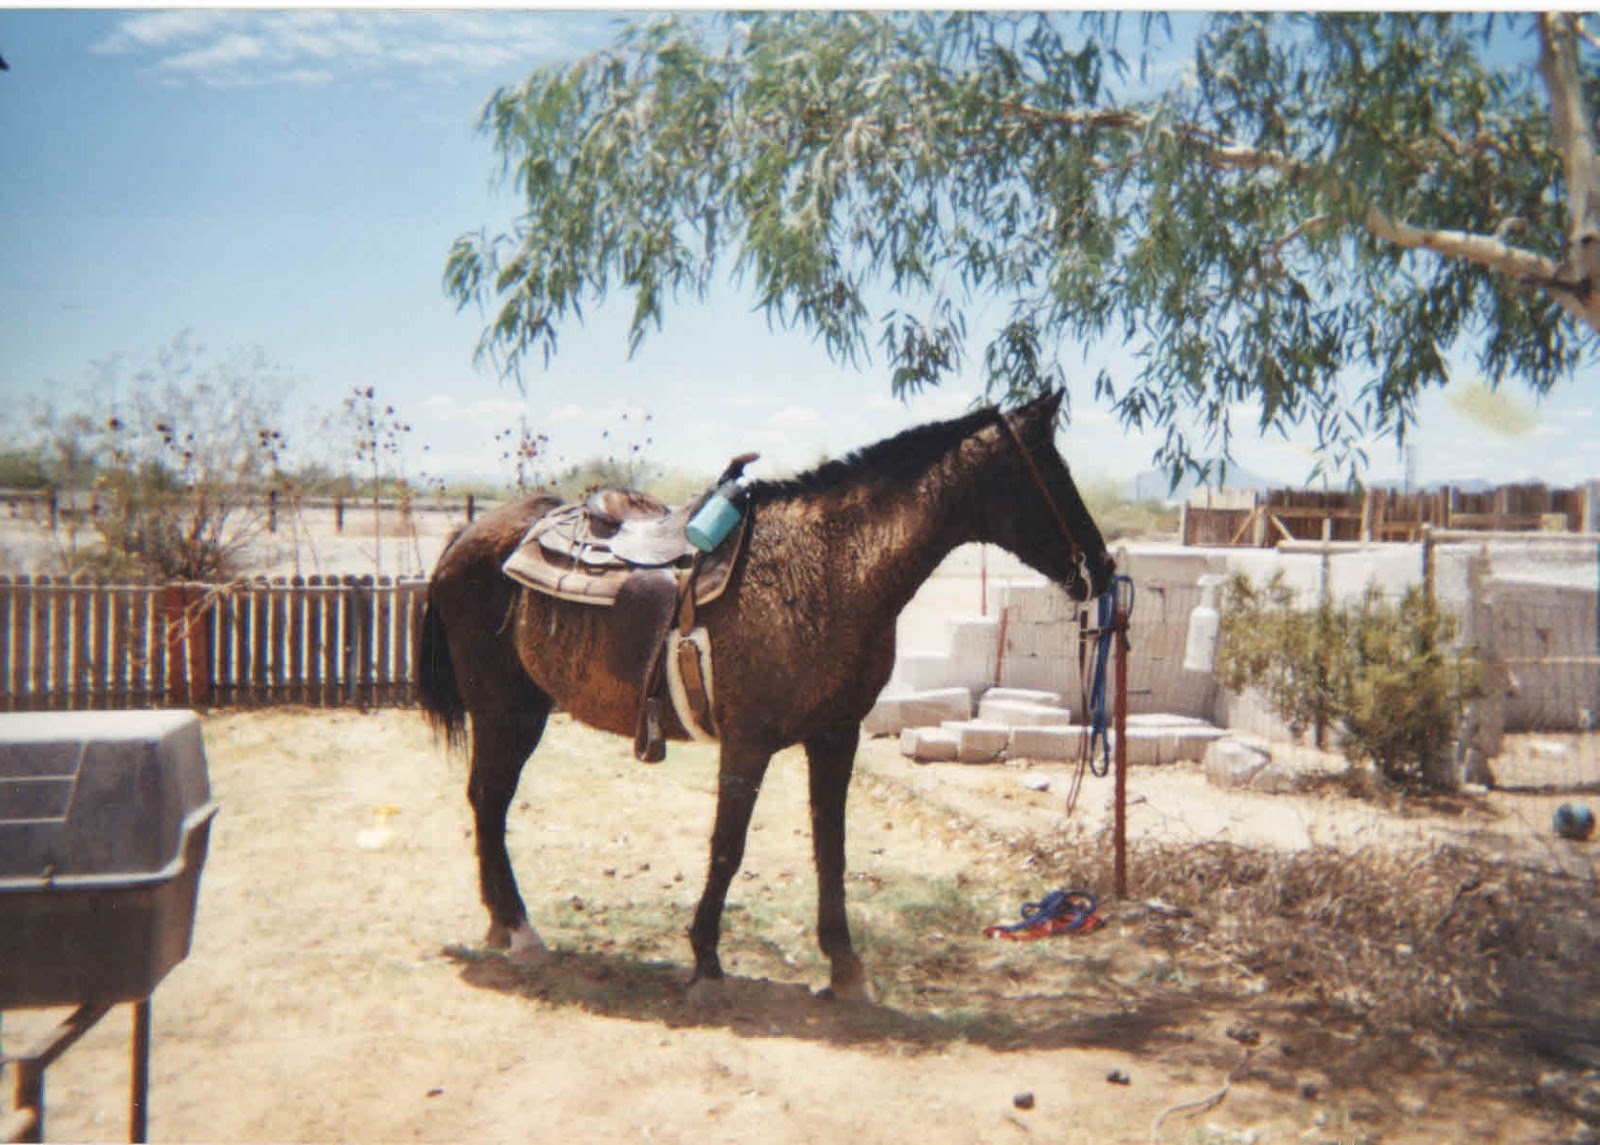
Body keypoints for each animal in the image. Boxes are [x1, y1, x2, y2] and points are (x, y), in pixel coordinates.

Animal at [417, 389, 1114, 1003]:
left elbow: (831, 849)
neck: (829, 568)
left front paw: (844, 965)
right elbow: (728, 847)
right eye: (1048, 472)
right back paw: (519, 930)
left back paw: (503, 922)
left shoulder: (836, 736)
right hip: (506, 712)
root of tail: (467, 538)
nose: (1102, 569)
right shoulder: (748, 743)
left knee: (488, 802)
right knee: (488, 800)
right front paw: (704, 959)